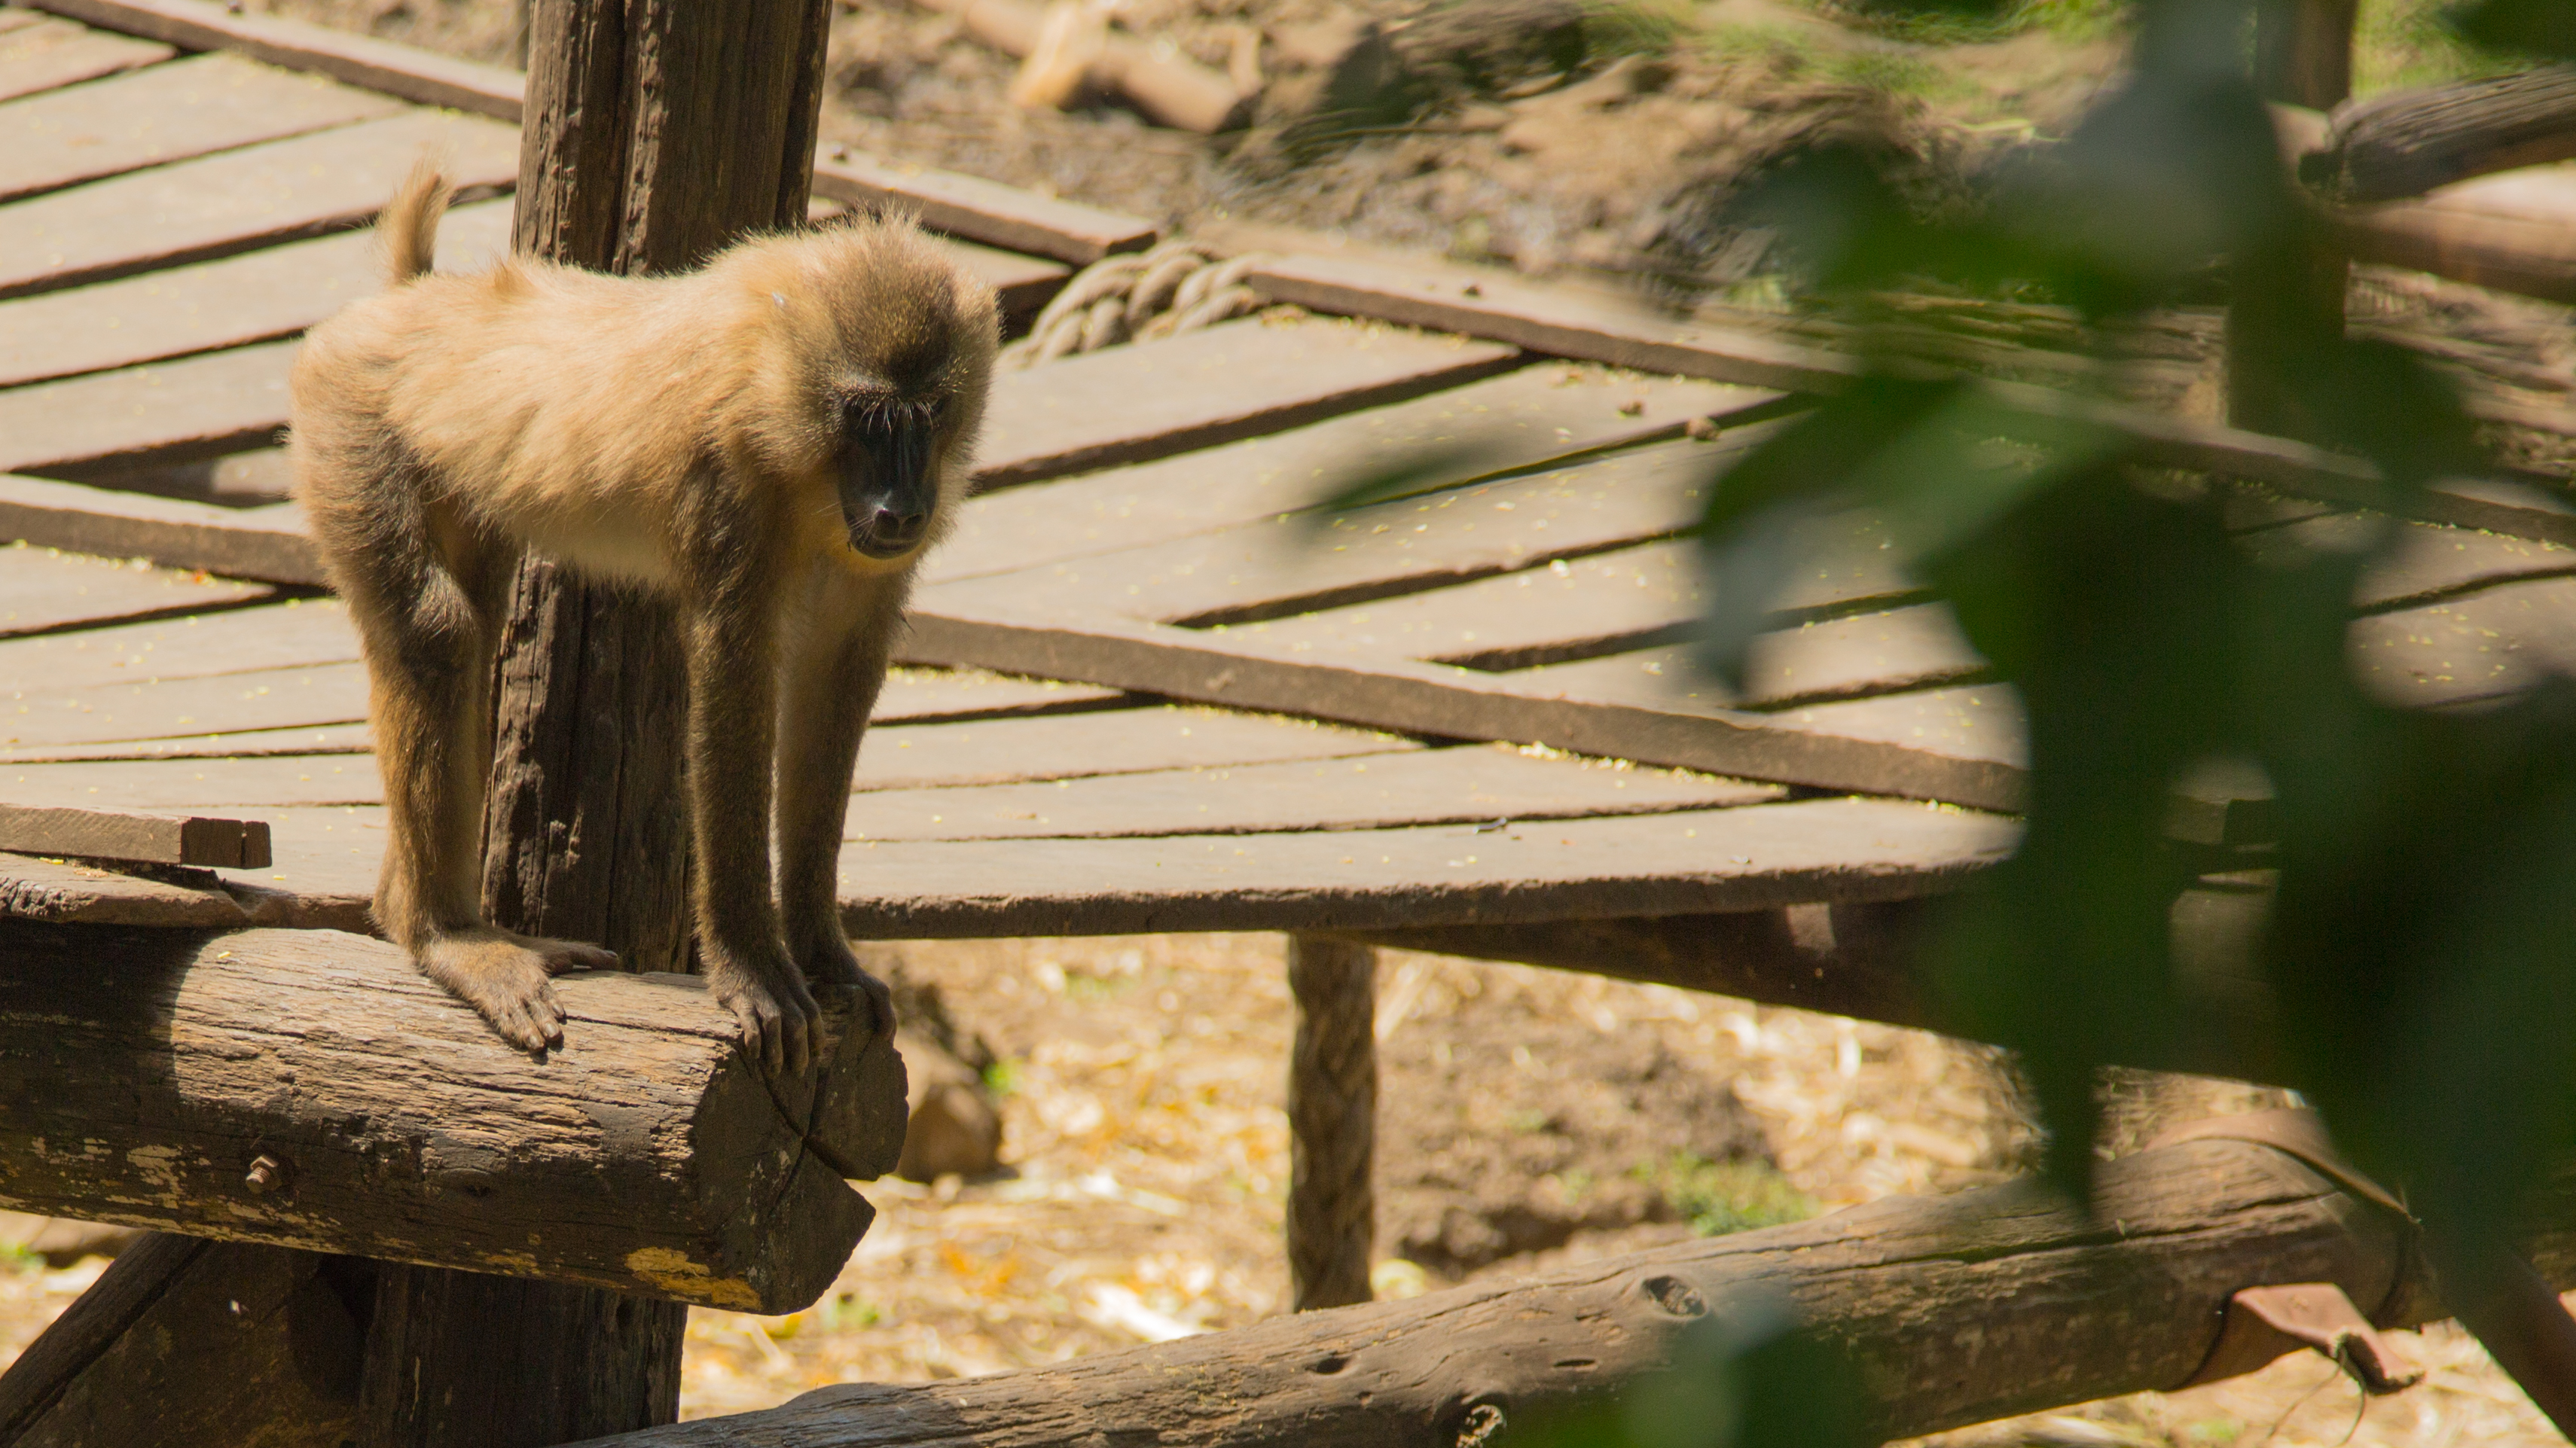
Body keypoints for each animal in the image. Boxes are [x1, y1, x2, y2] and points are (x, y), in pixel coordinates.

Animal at [289, 162, 997, 1075]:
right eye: (869, 418)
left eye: (929, 415)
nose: (904, 504)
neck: (778, 399)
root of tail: (398, 307)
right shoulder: (726, 483)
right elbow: (734, 679)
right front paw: (753, 966)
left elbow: (835, 683)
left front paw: (823, 953)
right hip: (346, 425)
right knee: (437, 633)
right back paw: (444, 935)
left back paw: (414, 910)